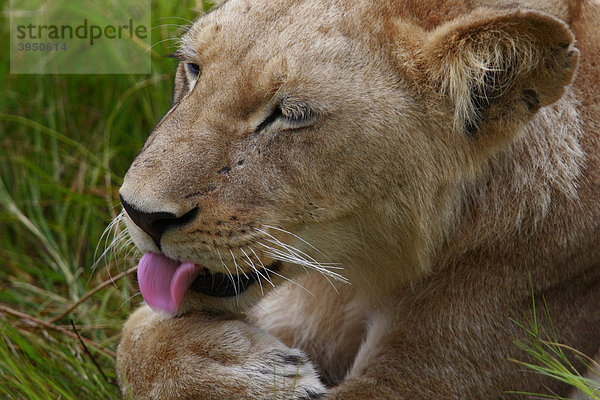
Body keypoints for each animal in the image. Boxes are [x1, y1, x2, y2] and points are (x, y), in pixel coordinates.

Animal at [115, 0, 596, 396]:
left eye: (291, 115)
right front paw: (247, 369)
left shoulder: (438, 376)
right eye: (194, 68)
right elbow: (135, 331)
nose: (139, 214)